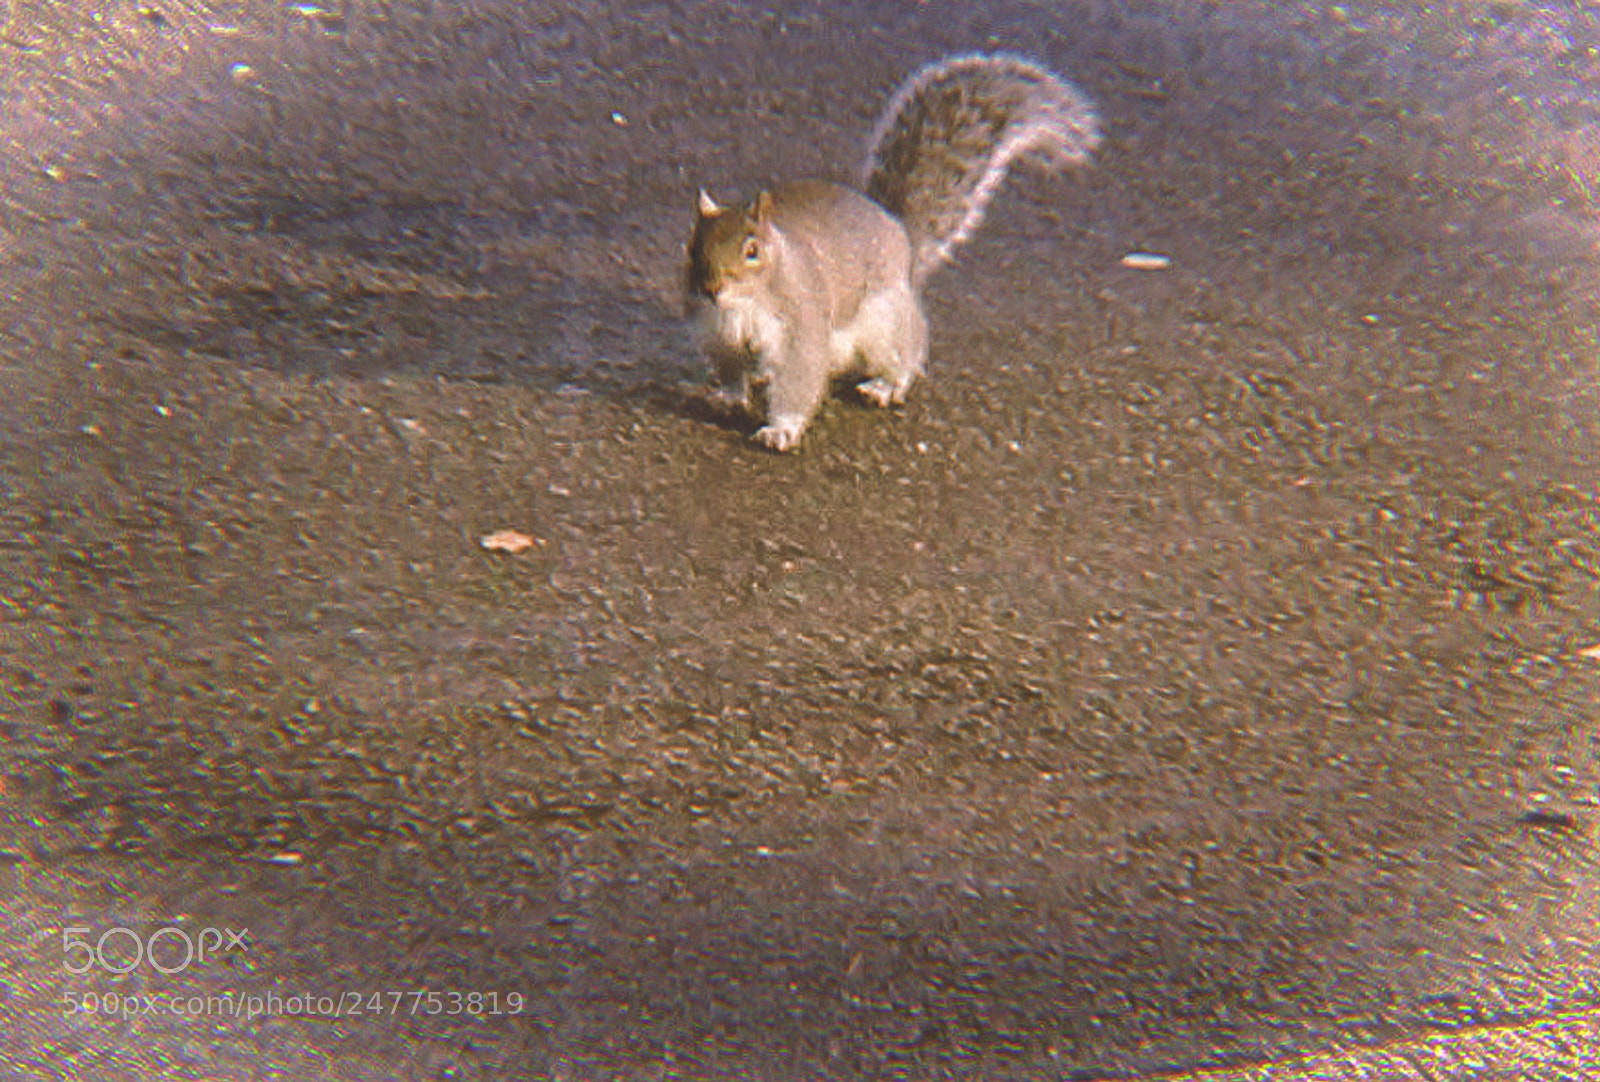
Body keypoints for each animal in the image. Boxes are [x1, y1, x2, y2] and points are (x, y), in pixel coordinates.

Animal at [686, 53, 1102, 452]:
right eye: (693, 245)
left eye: (752, 250)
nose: (711, 289)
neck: (743, 305)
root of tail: (900, 235)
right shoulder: (718, 335)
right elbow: (731, 369)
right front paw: (728, 396)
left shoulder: (800, 326)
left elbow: (798, 380)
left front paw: (781, 429)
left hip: (884, 321)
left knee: (908, 351)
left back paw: (886, 385)